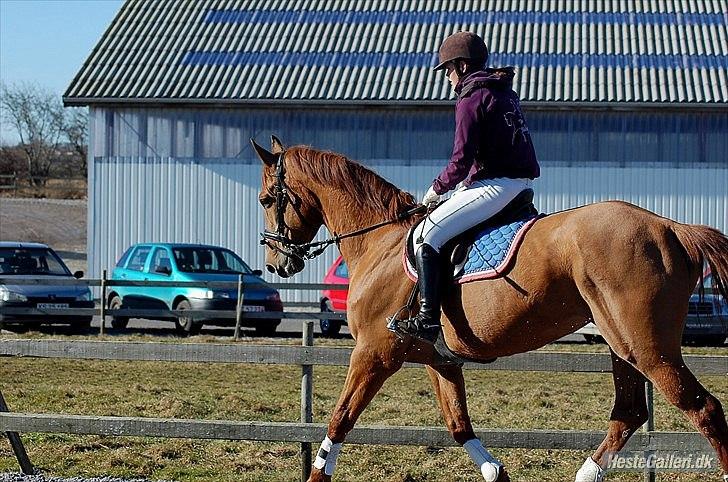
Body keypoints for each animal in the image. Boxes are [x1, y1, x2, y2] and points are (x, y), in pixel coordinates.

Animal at [252, 137, 728, 482]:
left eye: (265, 200)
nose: (277, 263)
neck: (381, 242)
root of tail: (672, 227)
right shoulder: (439, 360)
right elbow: (459, 425)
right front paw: (496, 472)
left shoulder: (373, 354)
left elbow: (340, 420)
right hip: (621, 345)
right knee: (629, 413)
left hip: (647, 347)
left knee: (703, 409)